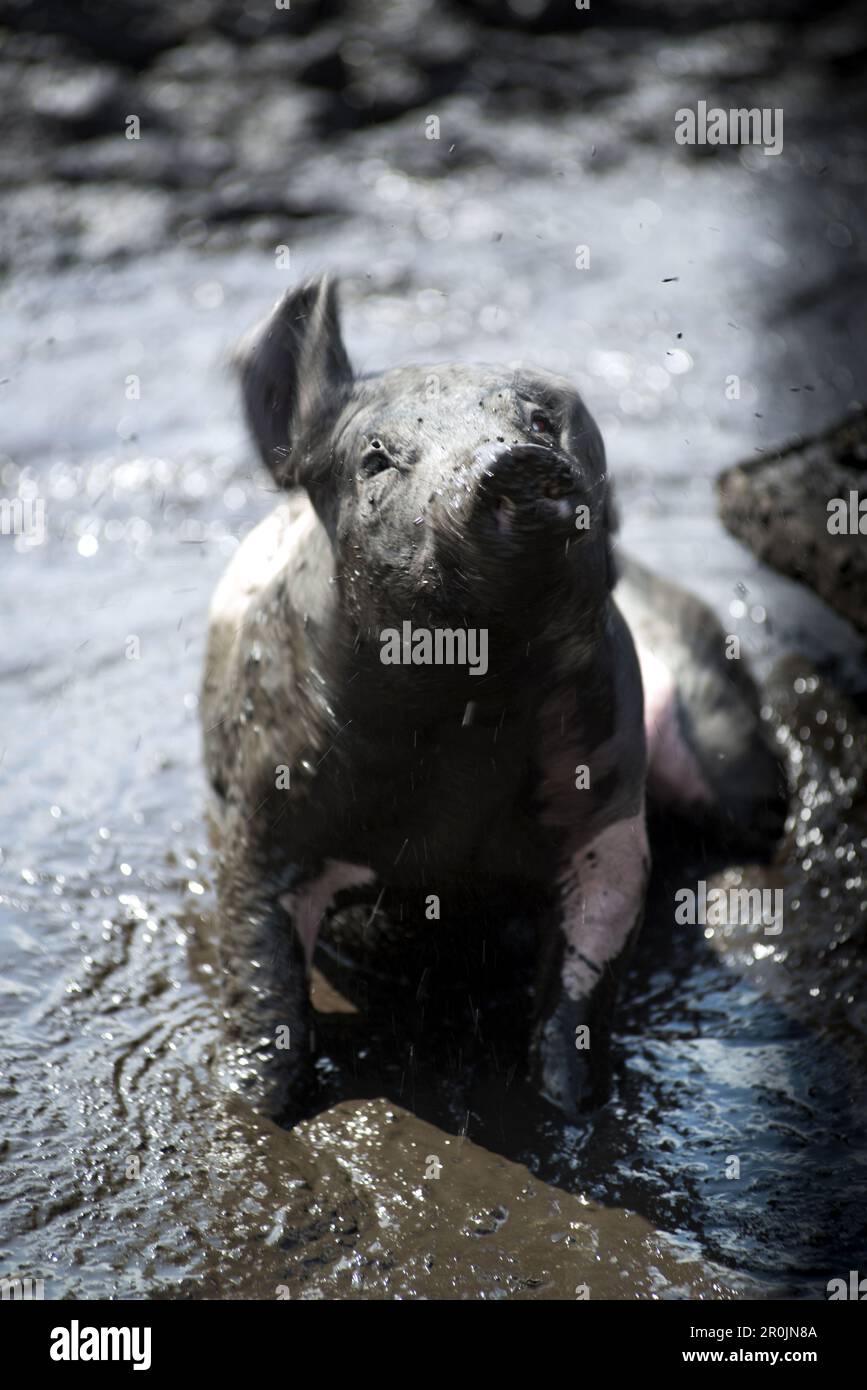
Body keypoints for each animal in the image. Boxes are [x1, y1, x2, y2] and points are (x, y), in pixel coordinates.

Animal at [200, 276, 783, 1123]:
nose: (510, 460)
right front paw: (257, 1109)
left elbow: (586, 973)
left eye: (538, 420)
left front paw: (569, 1106)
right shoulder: (263, 809)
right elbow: (260, 976)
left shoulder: (607, 812)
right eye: (376, 457)